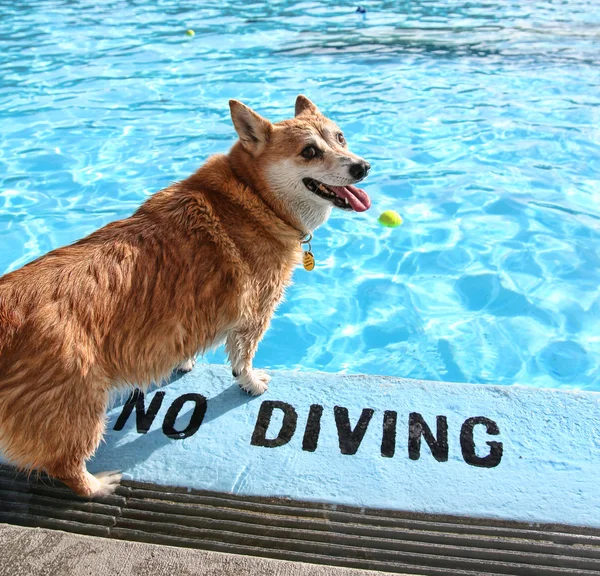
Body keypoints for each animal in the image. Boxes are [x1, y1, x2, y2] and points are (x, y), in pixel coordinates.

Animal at [0, 94, 370, 496]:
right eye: (309, 152)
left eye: (340, 137)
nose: (363, 167)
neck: (256, 197)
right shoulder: (255, 314)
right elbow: (243, 360)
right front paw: (251, 384)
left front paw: (184, 362)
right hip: (79, 404)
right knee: (64, 463)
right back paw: (97, 485)